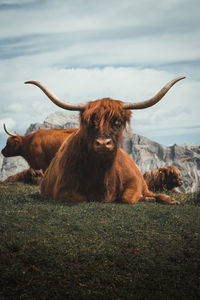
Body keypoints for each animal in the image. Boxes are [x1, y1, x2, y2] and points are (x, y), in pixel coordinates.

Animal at [25, 76, 186, 205]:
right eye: (92, 123)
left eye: (117, 123)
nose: (103, 143)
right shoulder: (62, 190)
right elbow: (83, 198)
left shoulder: (134, 182)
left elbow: (128, 197)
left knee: (151, 192)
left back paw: (168, 199)